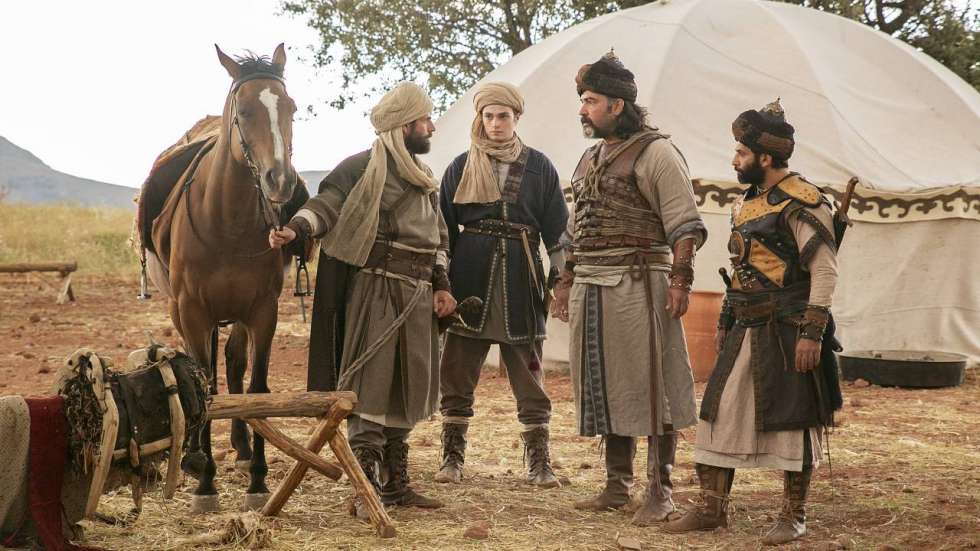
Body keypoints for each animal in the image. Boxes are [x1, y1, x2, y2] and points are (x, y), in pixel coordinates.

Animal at [141, 44, 305, 512]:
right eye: (244, 111)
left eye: (291, 108)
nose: (279, 180)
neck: (227, 223)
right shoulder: (194, 311)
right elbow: (206, 388)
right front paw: (205, 482)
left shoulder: (262, 312)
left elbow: (257, 388)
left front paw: (258, 479)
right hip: (181, 311)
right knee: (206, 372)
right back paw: (197, 455)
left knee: (231, 364)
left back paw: (243, 447)